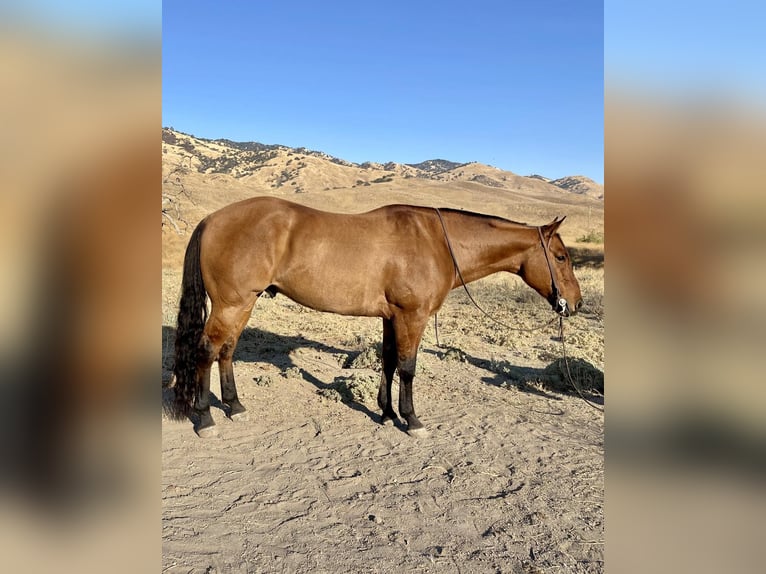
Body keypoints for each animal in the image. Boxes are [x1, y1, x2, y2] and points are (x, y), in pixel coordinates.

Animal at [172, 196, 584, 438]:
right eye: (561, 257)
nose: (576, 303)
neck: (436, 241)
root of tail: (212, 220)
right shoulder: (412, 317)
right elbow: (408, 367)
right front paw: (411, 420)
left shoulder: (392, 317)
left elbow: (387, 361)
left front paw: (385, 413)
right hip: (231, 304)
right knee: (206, 351)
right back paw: (205, 418)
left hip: (243, 305)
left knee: (226, 351)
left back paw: (234, 406)